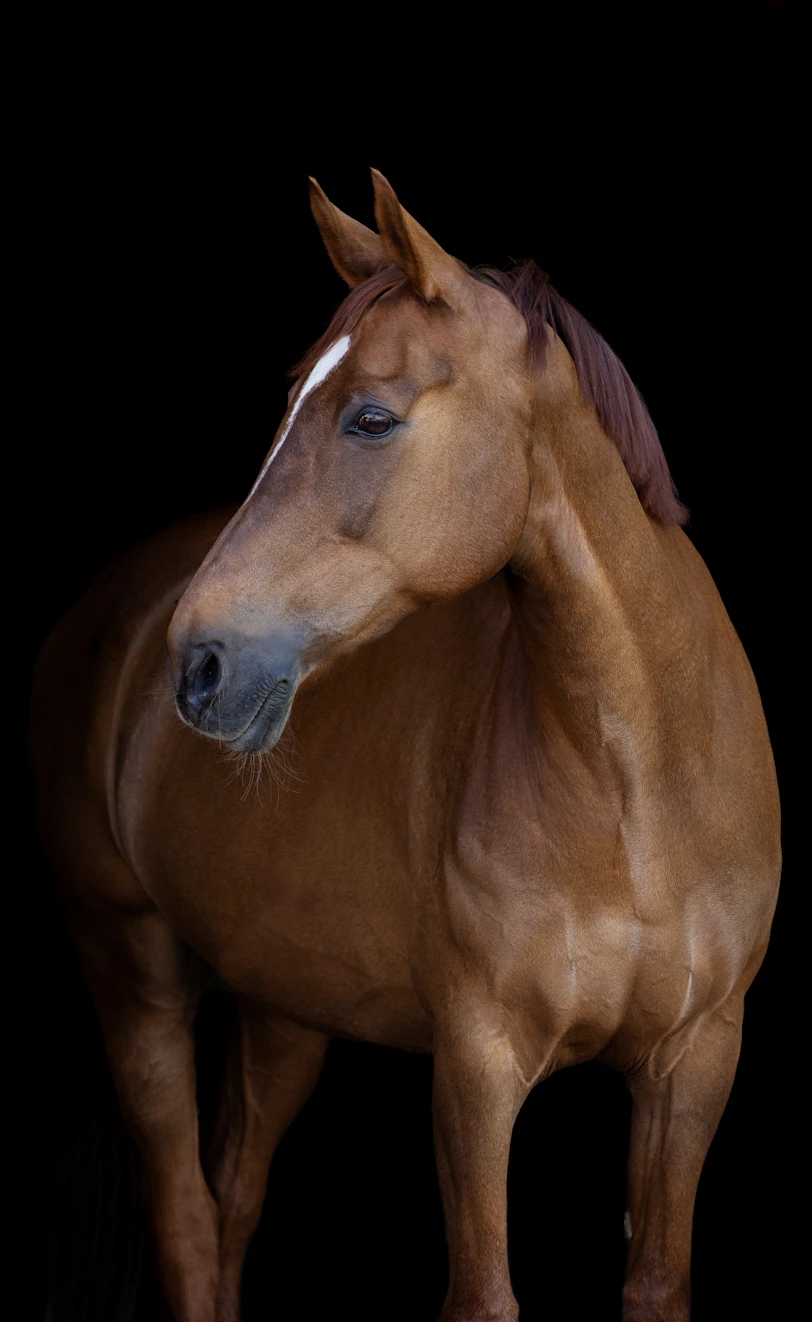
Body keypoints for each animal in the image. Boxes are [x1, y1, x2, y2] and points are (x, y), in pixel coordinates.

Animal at [30, 169, 780, 1321]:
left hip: (284, 1008)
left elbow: (656, 1283)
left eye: (371, 417)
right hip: (134, 978)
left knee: (232, 1202)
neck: (640, 788)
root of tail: (101, 610)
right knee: (189, 1225)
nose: (198, 664)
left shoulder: (694, 1063)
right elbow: (483, 1294)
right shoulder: (476, 1066)